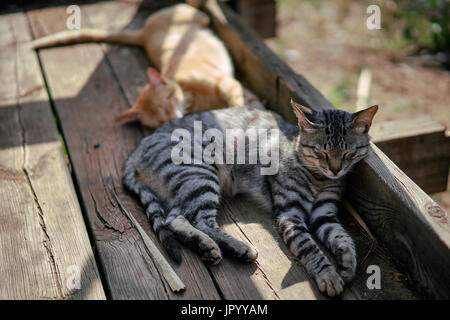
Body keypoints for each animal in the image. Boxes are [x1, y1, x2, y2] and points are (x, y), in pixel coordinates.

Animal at [31, 3, 262, 128]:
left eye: (167, 103)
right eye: (160, 120)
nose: (173, 118)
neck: (192, 97)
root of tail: (143, 33)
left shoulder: (229, 84)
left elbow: (239, 103)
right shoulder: (236, 87)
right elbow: (249, 101)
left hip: (197, 17)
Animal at [122, 101, 376, 296]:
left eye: (348, 154)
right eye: (320, 152)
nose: (335, 170)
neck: (319, 178)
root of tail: (136, 149)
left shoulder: (325, 214)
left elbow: (342, 237)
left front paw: (347, 263)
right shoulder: (290, 213)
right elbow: (309, 247)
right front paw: (328, 275)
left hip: (189, 186)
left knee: (176, 219)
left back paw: (206, 246)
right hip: (199, 174)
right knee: (199, 220)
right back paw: (238, 248)